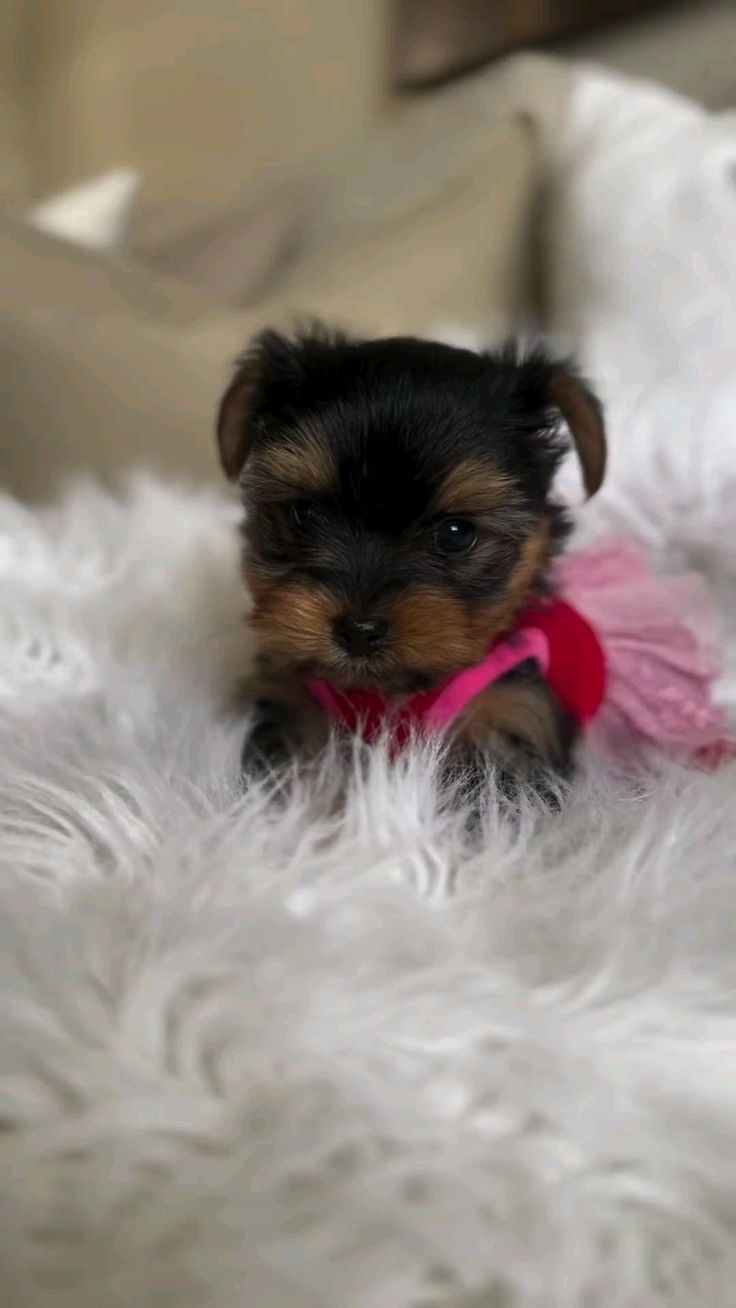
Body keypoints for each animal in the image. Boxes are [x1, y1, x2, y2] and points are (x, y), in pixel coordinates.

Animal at [215, 327, 606, 795]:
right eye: (304, 513)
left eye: (456, 533)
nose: (360, 630)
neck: (390, 693)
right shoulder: (292, 702)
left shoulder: (509, 713)